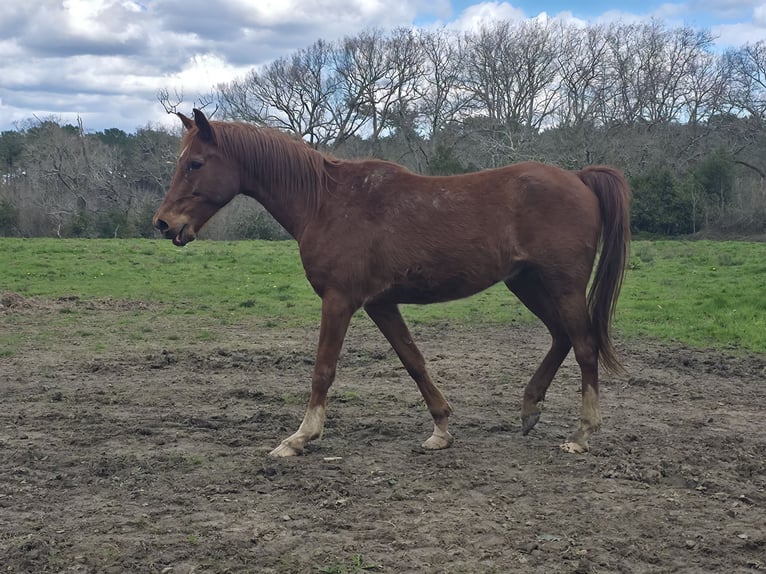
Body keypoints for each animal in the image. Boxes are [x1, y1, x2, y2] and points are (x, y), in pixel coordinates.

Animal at [154, 108, 631, 457]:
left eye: (195, 163)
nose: (163, 224)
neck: (325, 202)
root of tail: (579, 178)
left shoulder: (339, 300)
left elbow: (323, 369)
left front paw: (301, 436)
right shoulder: (380, 303)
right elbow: (413, 361)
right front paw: (441, 427)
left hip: (562, 284)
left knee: (584, 346)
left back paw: (582, 433)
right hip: (527, 283)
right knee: (561, 337)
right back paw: (530, 407)